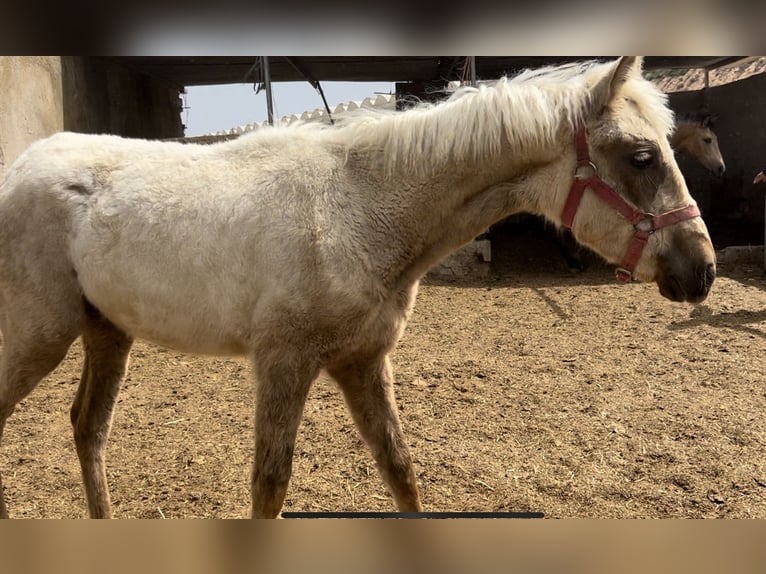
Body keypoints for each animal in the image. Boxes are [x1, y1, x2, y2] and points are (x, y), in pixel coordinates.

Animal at [1, 56, 720, 520]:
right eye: (641, 157)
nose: (703, 270)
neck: (353, 211)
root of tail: (20, 168)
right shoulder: (284, 363)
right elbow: (270, 487)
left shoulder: (363, 361)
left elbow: (400, 472)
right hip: (40, 339)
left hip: (107, 332)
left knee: (88, 428)